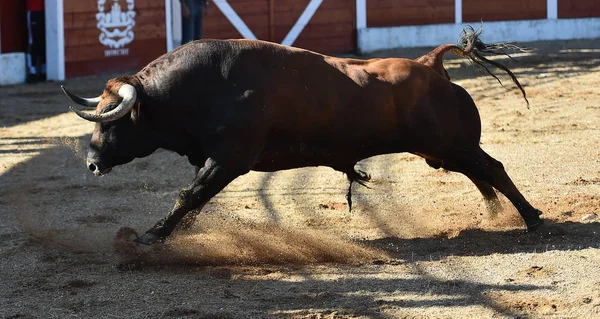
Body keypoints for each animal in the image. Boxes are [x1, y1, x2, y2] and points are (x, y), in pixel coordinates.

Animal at [64, 26, 544, 245]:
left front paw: (152, 236)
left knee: (493, 168)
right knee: (481, 172)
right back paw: (501, 214)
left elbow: (190, 195)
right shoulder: (217, 161)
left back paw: (532, 217)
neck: (197, 89)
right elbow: (195, 199)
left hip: (452, 144)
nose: (92, 163)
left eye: (112, 120)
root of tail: (431, 64)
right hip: (446, 150)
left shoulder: (230, 159)